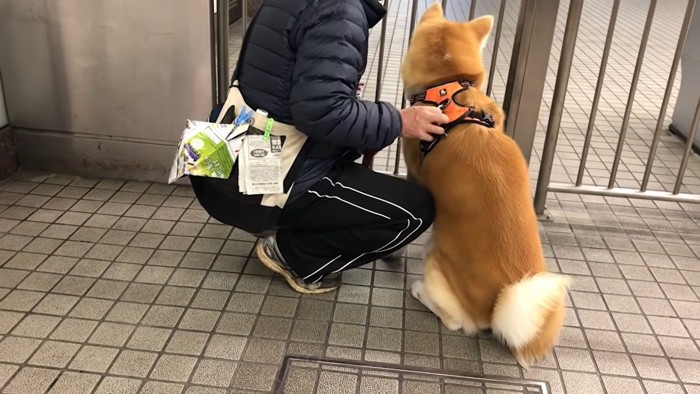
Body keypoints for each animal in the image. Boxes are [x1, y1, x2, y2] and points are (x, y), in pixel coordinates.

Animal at [402, 2, 572, 366]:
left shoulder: (413, 167)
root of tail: (497, 309)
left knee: (455, 321)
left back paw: (420, 291)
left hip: (436, 263)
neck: (449, 93)